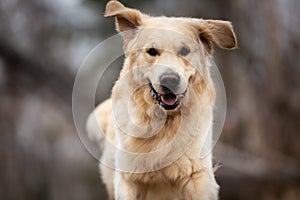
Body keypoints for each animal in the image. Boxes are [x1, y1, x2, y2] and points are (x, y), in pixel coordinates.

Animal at [86, 0, 237, 199]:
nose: (170, 80)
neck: (164, 122)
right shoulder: (127, 178)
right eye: (152, 51)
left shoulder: (198, 176)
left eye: (184, 50)